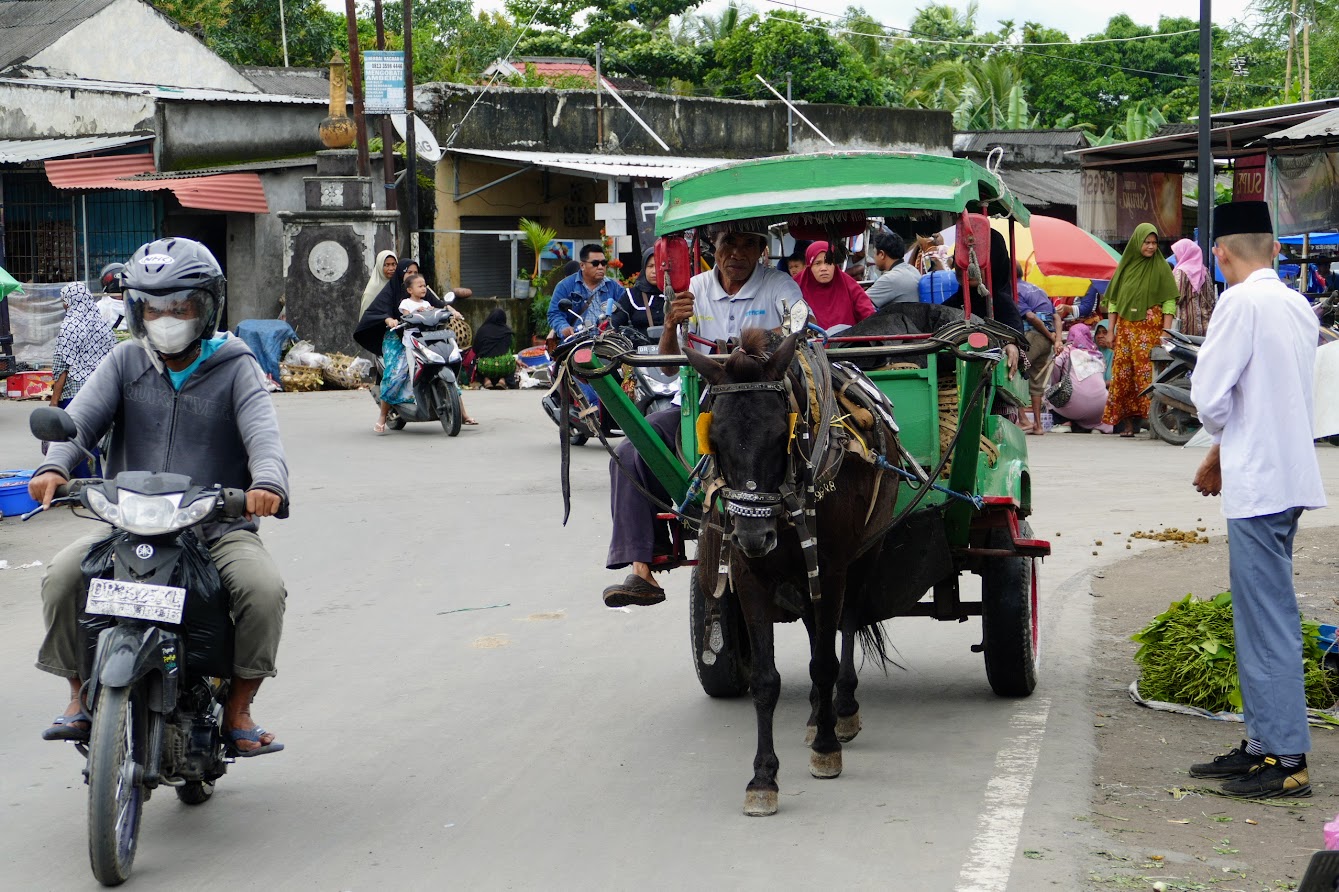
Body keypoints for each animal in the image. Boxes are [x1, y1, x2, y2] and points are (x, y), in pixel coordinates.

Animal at [680, 326, 899, 814]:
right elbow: (766, 680)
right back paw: (818, 713)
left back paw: (842, 711)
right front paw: (763, 778)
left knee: (846, 626)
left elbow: (825, 660)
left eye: (782, 432)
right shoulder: (748, 577)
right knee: (815, 629)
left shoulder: (832, 569)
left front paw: (826, 749)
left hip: (865, 554)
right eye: (714, 436)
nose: (753, 536)